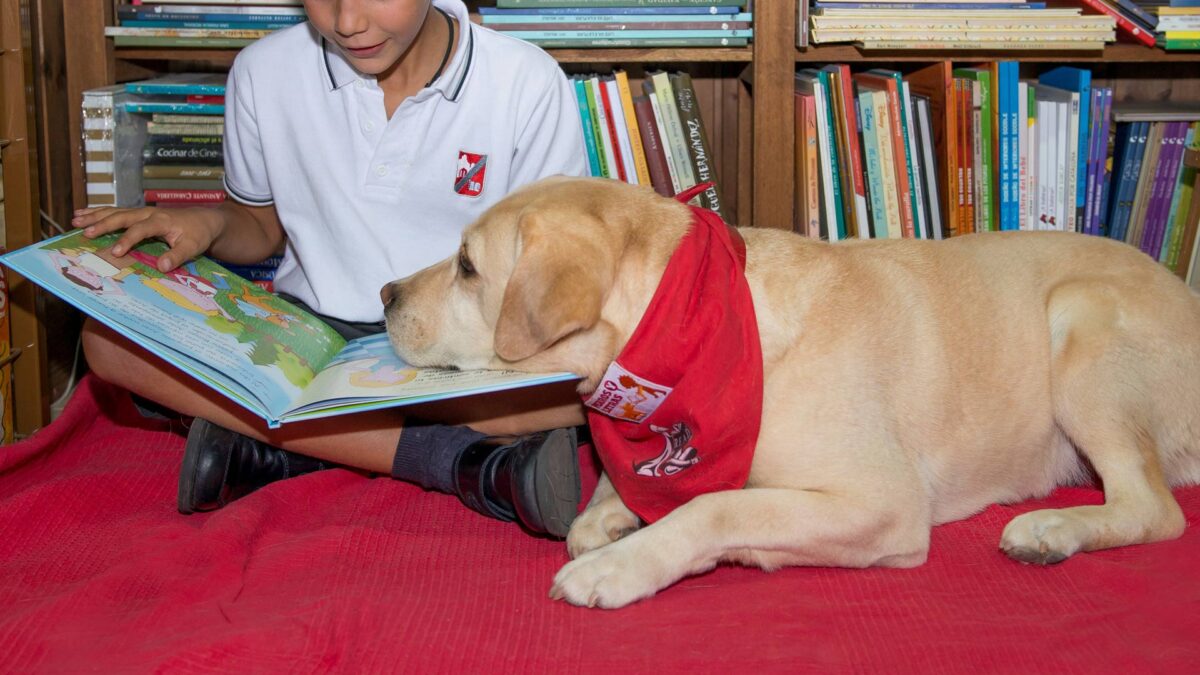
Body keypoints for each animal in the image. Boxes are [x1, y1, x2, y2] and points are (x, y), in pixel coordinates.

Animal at [381, 176, 1200, 607]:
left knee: (1152, 508)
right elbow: (623, 491)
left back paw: (1052, 530)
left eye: (466, 266)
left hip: (1080, 324)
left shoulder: (882, 502)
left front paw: (628, 561)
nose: (385, 294)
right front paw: (611, 515)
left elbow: (718, 505)